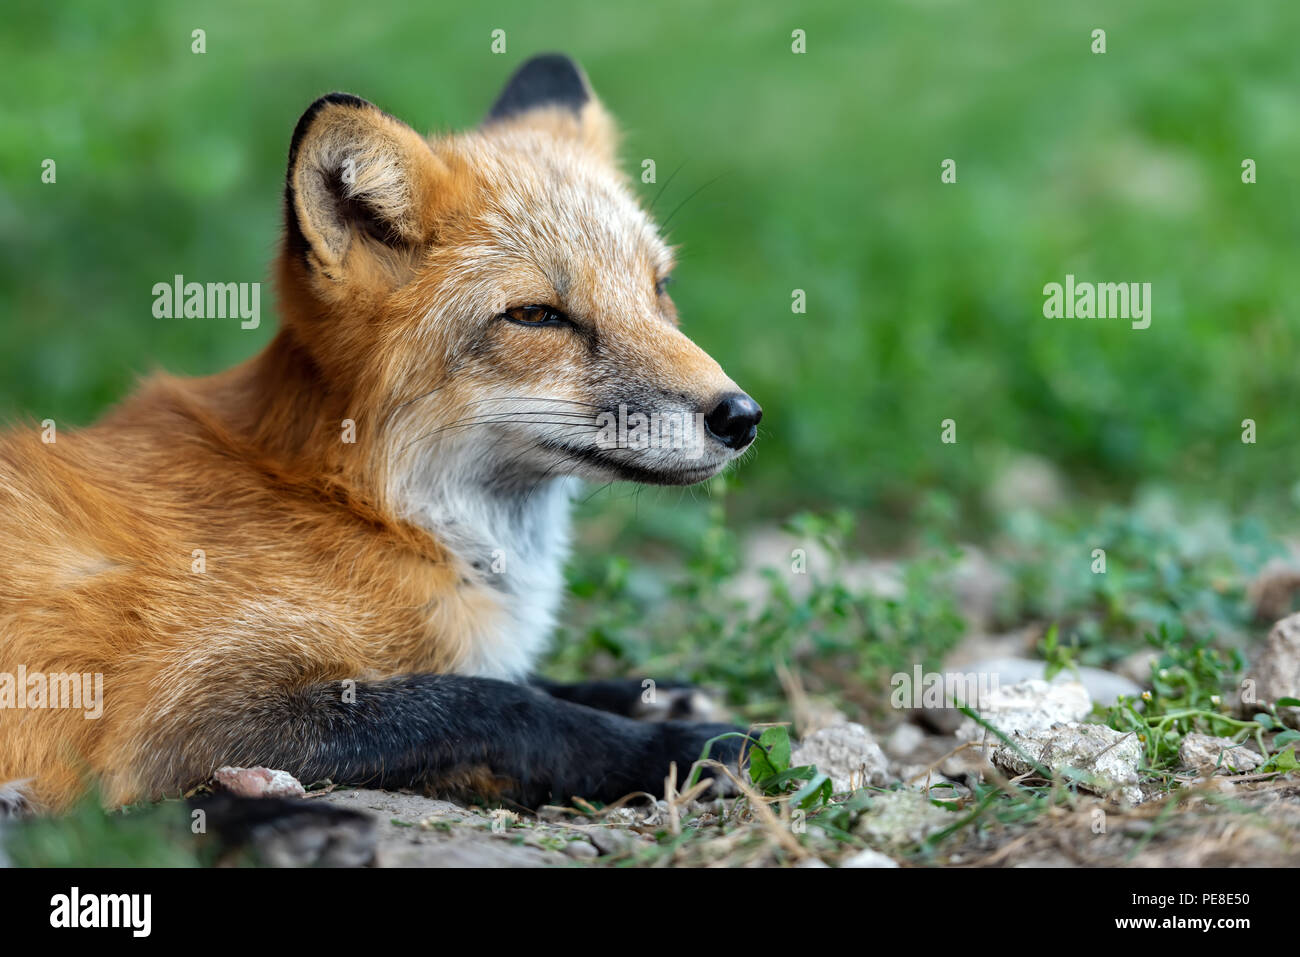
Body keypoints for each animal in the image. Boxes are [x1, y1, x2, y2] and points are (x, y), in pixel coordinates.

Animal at [0, 54, 763, 816]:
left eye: (659, 287)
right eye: (536, 315)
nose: (741, 416)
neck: (365, 506)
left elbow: (510, 679)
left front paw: (650, 696)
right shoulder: (178, 721)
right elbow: (492, 703)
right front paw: (680, 748)